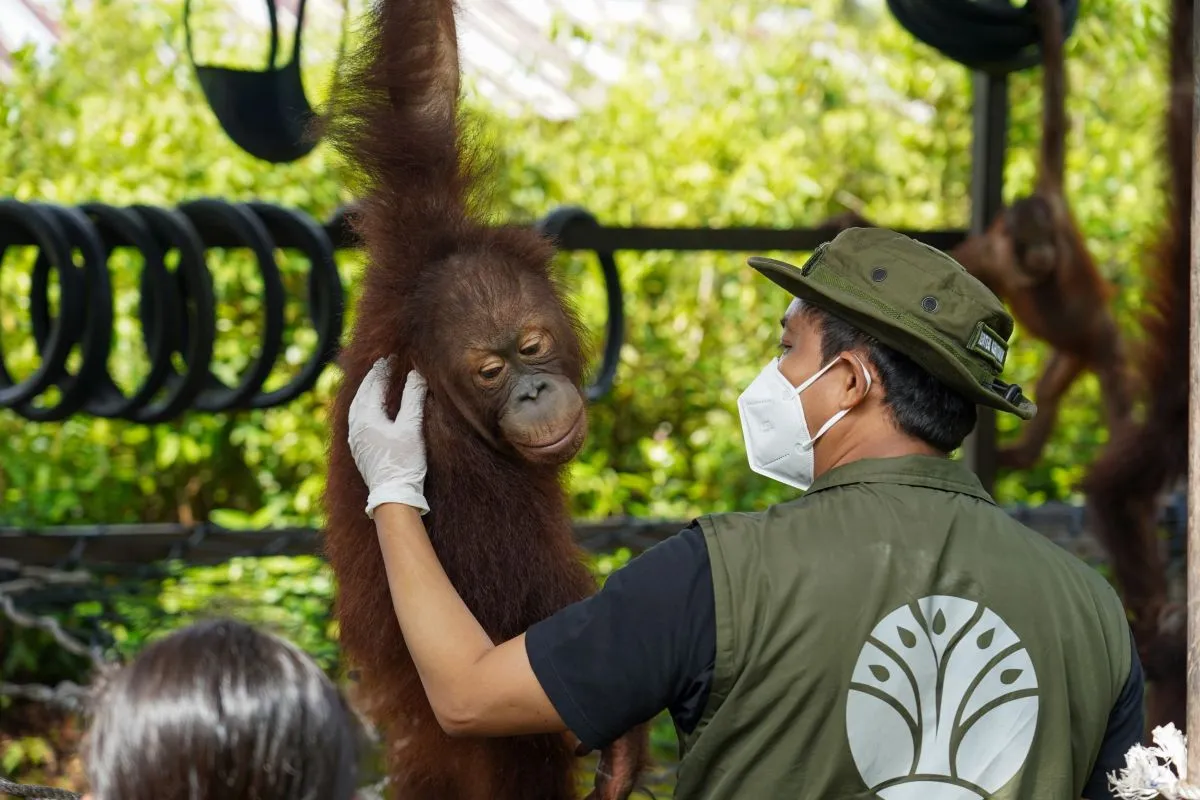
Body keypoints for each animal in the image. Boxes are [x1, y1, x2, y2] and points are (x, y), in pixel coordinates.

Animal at [318, 0, 649, 797]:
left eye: (530, 345)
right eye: (491, 371)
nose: (532, 390)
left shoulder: (415, 240)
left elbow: (421, 88)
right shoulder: (457, 472)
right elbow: (511, 635)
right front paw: (625, 746)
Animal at [816, 0, 1131, 472]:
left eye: (1050, 238)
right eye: (1028, 242)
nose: (1045, 254)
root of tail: (1083, 351)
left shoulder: (1053, 200)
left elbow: (1054, 116)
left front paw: (1049, 25)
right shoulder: (988, 253)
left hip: (1102, 336)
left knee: (1114, 377)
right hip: (1070, 355)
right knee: (1053, 388)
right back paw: (1021, 454)